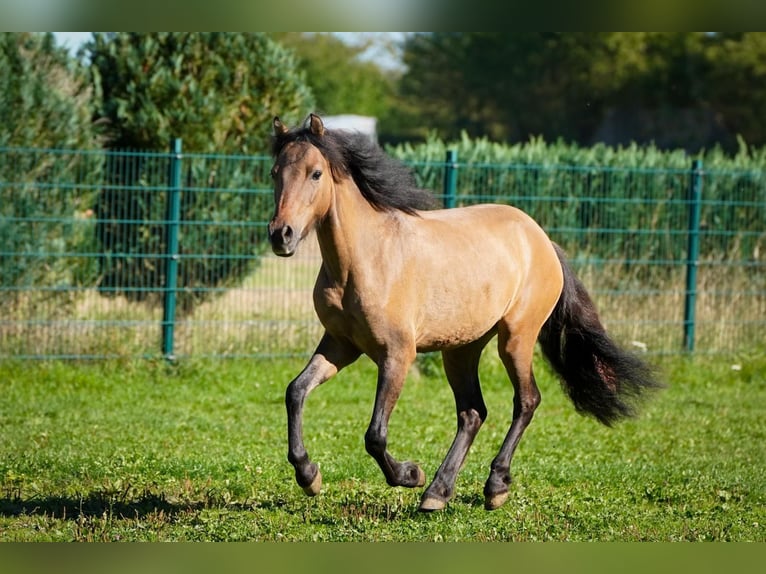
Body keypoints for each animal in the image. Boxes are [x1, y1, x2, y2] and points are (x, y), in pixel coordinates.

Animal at [268, 113, 660, 512]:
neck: (364, 260)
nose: (281, 235)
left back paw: (494, 486)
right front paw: (309, 475)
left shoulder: (397, 354)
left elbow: (375, 434)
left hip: (516, 338)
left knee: (526, 400)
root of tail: (542, 240)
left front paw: (410, 474)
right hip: (461, 348)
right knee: (473, 412)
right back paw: (438, 493)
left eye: (316, 173)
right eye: (275, 172)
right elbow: (295, 391)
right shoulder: (341, 345)